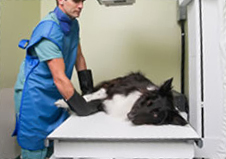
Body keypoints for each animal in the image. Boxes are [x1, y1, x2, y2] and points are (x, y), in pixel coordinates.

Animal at [55, 72, 188, 125]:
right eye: (149, 102)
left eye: (155, 115)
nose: (130, 116)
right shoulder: (112, 91)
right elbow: (88, 98)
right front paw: (62, 102)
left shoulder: (102, 104)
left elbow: (86, 106)